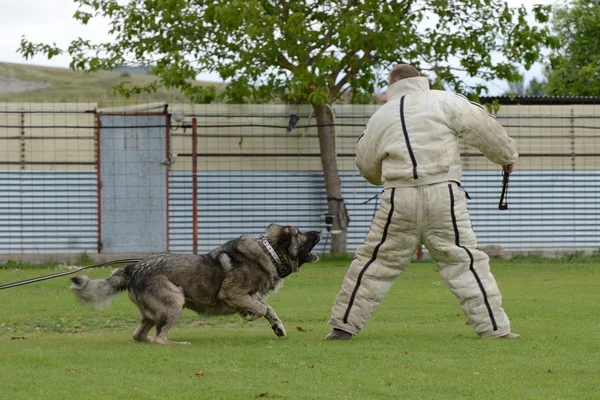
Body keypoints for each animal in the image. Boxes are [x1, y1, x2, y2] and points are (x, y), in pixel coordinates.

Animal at [69, 225, 322, 344]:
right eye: (299, 232)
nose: (319, 230)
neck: (269, 253)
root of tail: (132, 269)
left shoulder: (253, 296)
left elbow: (269, 309)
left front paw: (276, 326)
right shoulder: (231, 293)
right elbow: (260, 308)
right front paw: (249, 315)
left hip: (153, 312)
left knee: (140, 335)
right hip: (175, 301)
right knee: (159, 338)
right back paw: (177, 343)